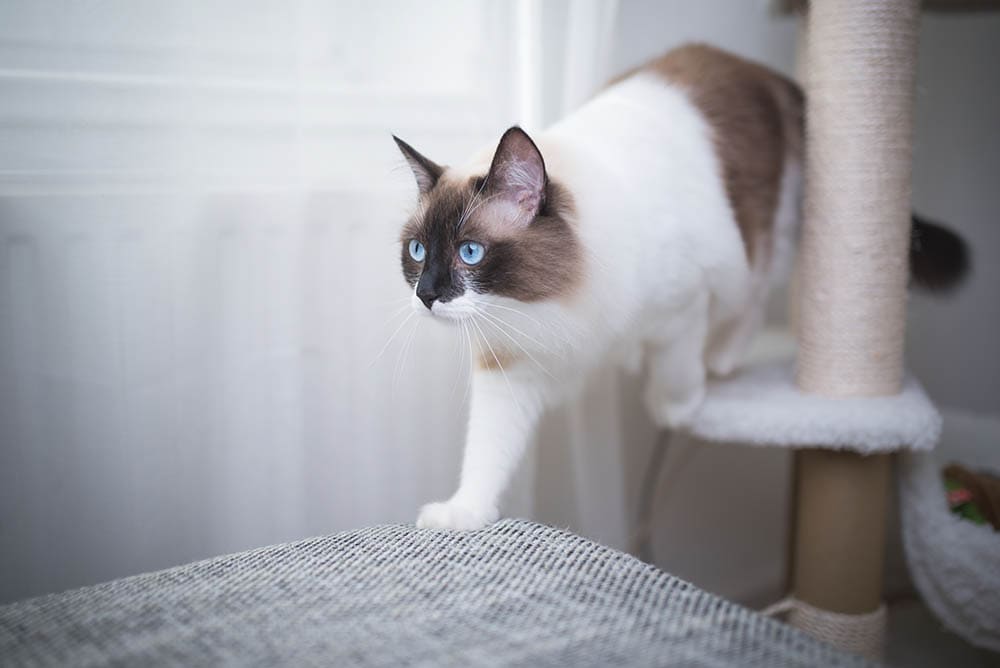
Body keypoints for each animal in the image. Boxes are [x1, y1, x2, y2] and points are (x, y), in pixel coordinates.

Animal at [390, 43, 968, 532]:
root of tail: (757, 69)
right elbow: (487, 454)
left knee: (753, 299)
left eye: (469, 252)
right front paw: (462, 515)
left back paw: (723, 361)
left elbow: (675, 374)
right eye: (417, 252)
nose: (426, 295)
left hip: (766, 237)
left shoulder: (681, 309)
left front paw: (680, 409)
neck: (551, 303)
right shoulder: (512, 363)